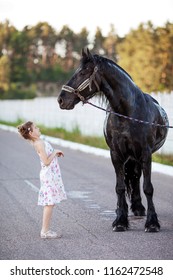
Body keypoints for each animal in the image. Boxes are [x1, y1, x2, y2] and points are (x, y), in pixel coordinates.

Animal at [58, 47, 169, 232]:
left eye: (83, 72)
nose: (61, 99)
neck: (127, 112)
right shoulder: (116, 154)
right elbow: (120, 187)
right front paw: (120, 221)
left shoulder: (146, 154)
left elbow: (148, 188)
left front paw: (152, 222)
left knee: (136, 177)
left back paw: (139, 209)